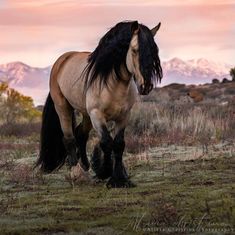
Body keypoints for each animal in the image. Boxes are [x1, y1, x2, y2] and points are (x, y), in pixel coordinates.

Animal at [35, 21, 162, 188]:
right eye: (135, 50)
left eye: (154, 51)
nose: (146, 86)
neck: (113, 84)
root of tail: (62, 60)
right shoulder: (97, 115)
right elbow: (106, 143)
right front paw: (105, 173)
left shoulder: (123, 117)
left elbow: (119, 144)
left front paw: (120, 179)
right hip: (63, 108)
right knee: (69, 138)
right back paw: (76, 173)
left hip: (86, 114)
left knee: (81, 135)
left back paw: (85, 166)